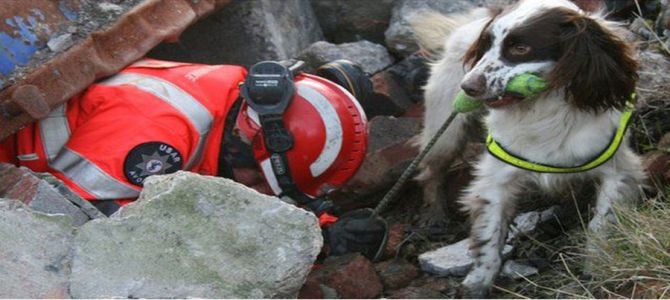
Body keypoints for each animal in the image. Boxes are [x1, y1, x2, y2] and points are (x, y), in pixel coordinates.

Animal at [412, 0, 648, 296]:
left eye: (520, 48)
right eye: (486, 45)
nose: (467, 86)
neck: (545, 111)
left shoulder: (619, 171)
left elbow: (601, 223)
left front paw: (596, 264)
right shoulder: (495, 179)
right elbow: (489, 235)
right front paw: (478, 282)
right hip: (446, 130)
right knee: (431, 169)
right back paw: (434, 215)